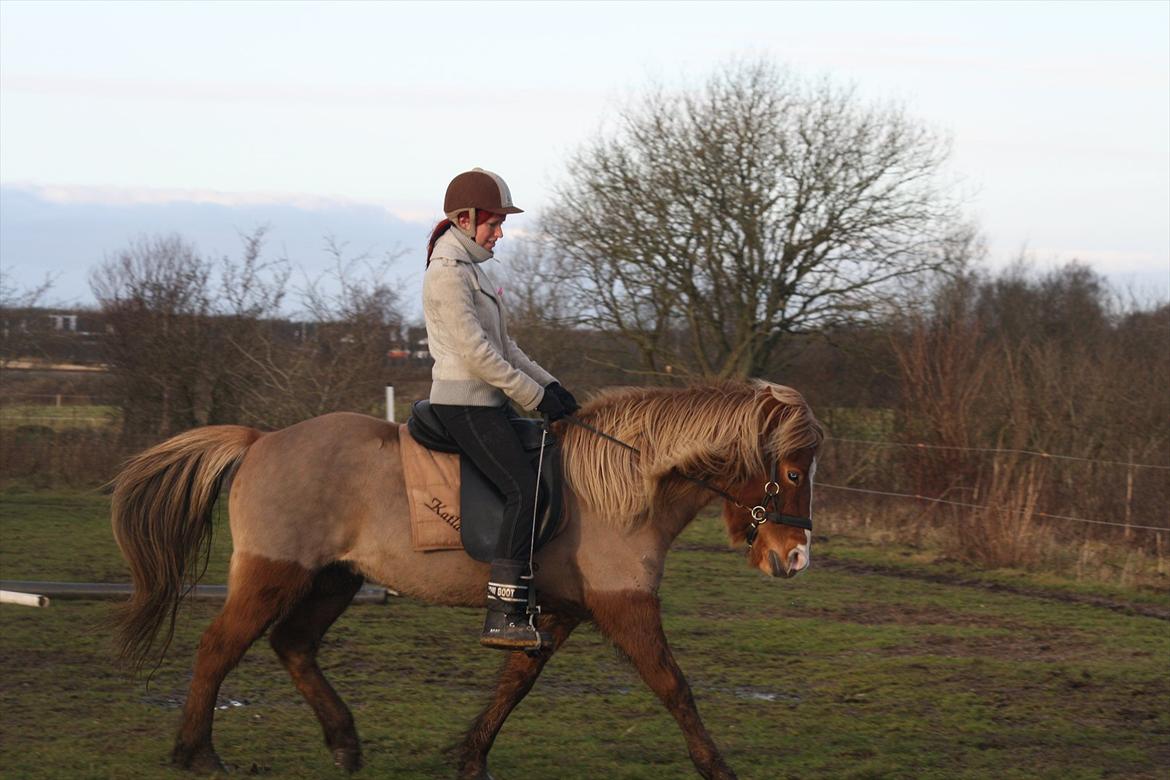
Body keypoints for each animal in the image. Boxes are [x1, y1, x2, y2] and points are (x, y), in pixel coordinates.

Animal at [109, 378, 823, 776]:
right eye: (791, 472)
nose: (794, 559)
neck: (623, 485)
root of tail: (261, 440)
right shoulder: (625, 605)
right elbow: (675, 687)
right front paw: (717, 767)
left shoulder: (557, 612)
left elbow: (515, 683)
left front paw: (471, 758)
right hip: (274, 575)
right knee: (218, 648)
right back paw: (197, 754)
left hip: (334, 580)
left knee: (294, 645)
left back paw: (344, 744)